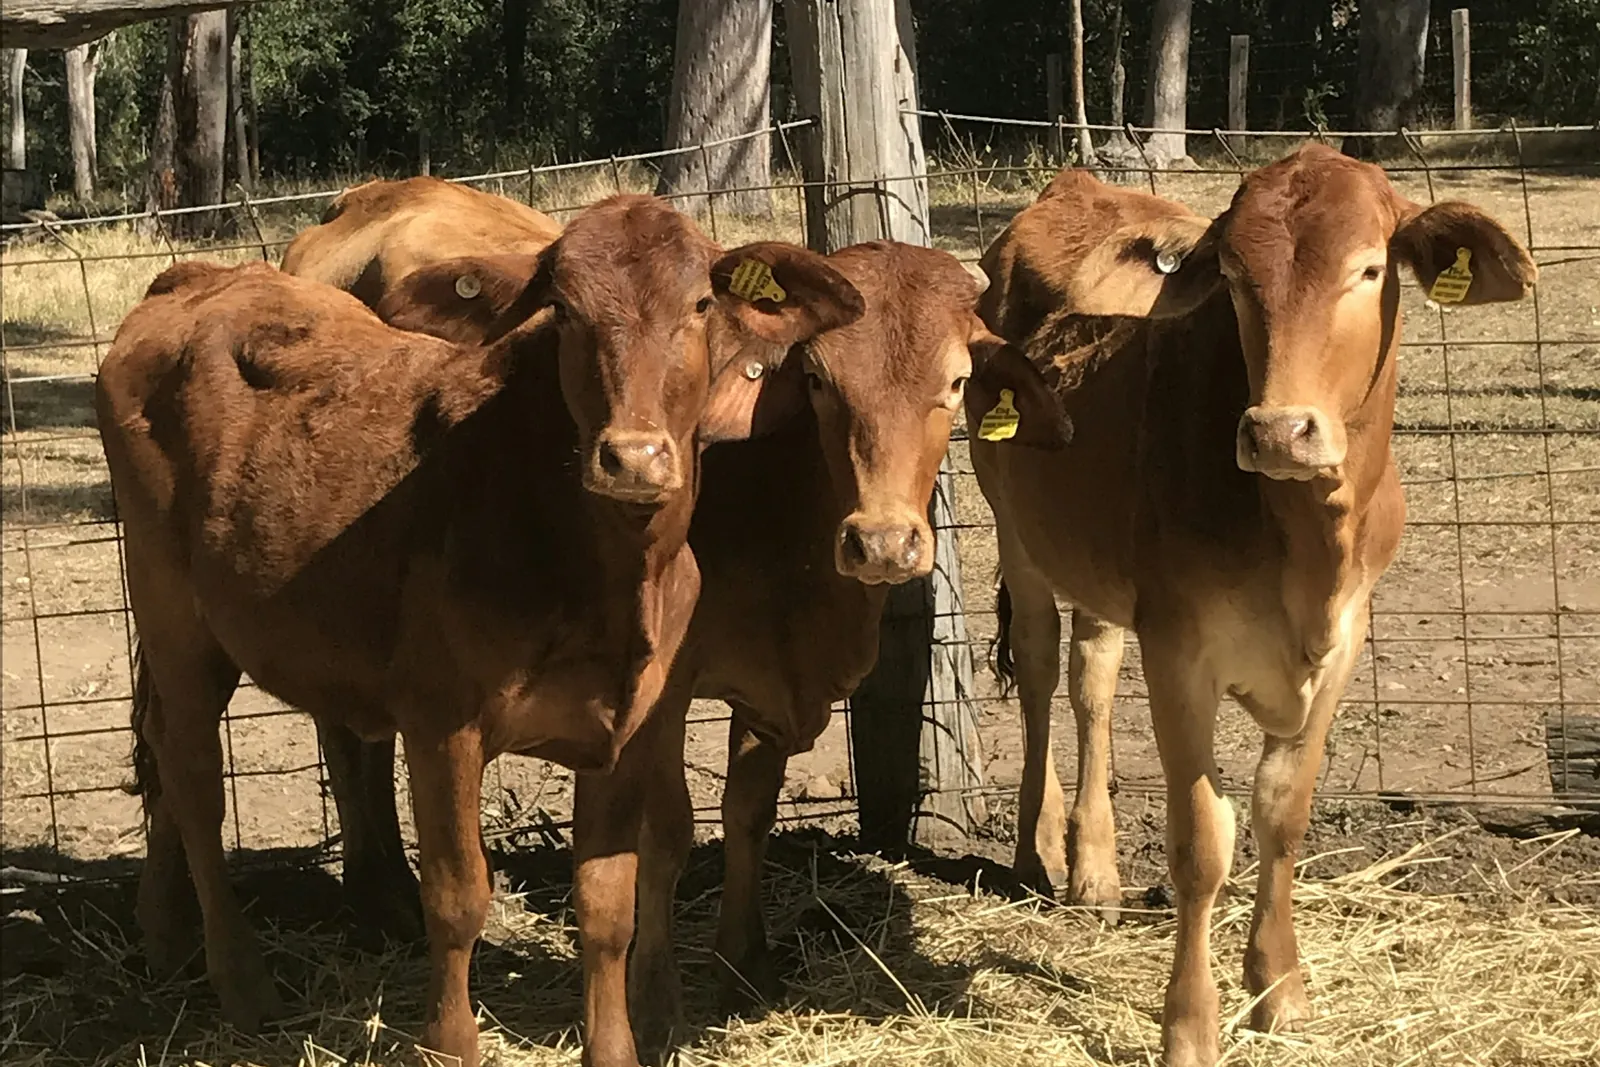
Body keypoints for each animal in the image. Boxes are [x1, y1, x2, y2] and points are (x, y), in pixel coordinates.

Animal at [98, 194, 865, 1067]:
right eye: (563, 310)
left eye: (701, 304)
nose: (633, 458)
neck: (606, 572)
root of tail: (198, 279)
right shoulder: (443, 723)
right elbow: (459, 895)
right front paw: (451, 1043)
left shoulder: (631, 724)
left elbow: (609, 904)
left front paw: (613, 1046)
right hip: (175, 614)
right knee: (194, 775)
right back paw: (242, 982)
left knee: (167, 750)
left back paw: (165, 936)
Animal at [344, 240, 1060, 1052]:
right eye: (818, 380)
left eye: (958, 381)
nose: (880, 541)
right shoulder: (664, 691)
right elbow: (669, 834)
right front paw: (657, 1002)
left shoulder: (769, 687)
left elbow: (748, 811)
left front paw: (746, 963)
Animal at [969, 145, 1536, 1066]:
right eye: (1235, 278)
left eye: (1369, 268)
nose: (1277, 431)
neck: (1304, 538)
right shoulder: (1179, 647)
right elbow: (1203, 842)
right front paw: (1190, 1024)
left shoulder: (1344, 639)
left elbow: (1282, 810)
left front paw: (1280, 986)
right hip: (1015, 530)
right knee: (1042, 666)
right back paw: (1038, 845)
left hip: (1101, 571)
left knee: (1092, 679)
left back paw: (1096, 869)